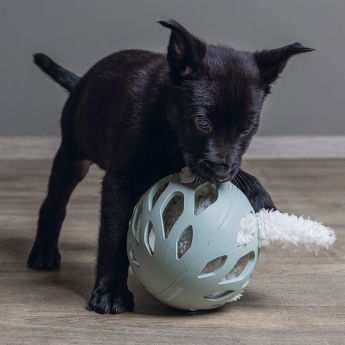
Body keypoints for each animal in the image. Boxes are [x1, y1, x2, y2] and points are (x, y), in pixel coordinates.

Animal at [26, 20, 312, 314]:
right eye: (202, 122)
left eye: (246, 129)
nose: (222, 173)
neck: (167, 124)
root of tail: (81, 81)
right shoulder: (121, 181)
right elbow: (113, 235)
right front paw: (110, 292)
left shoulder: (193, 163)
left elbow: (234, 172)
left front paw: (263, 199)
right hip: (73, 156)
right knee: (53, 204)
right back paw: (44, 252)